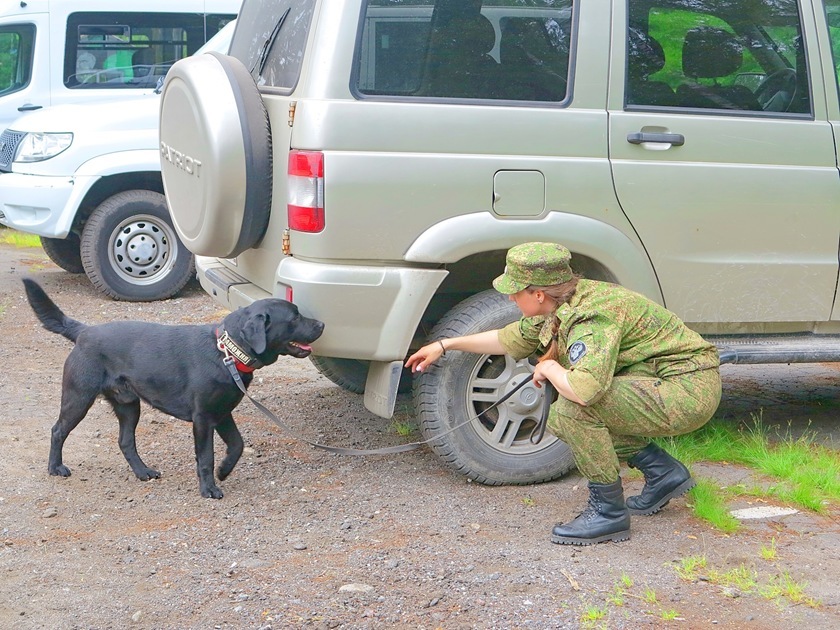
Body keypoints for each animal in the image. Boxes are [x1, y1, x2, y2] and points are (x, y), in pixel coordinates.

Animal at [23, 278, 324, 502]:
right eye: (295, 317)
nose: (322, 323)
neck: (227, 352)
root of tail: (84, 332)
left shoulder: (222, 413)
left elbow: (237, 445)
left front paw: (224, 471)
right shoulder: (203, 418)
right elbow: (205, 457)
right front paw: (209, 488)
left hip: (129, 405)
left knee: (125, 441)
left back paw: (143, 471)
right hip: (78, 398)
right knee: (58, 431)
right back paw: (55, 468)